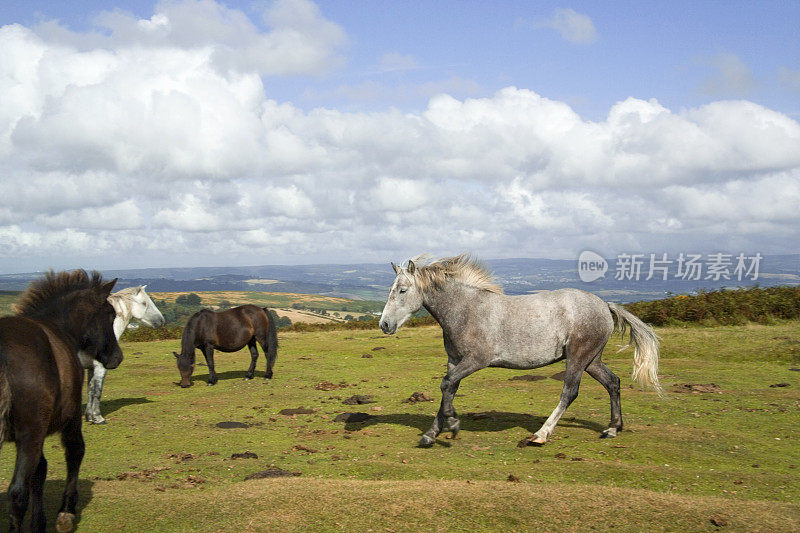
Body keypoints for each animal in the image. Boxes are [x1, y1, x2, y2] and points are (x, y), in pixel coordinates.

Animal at [0, 270, 122, 532]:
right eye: (110, 314)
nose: (117, 357)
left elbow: (40, 472)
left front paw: (39, 521)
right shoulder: (71, 416)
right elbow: (75, 451)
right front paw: (66, 511)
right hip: (31, 434)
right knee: (17, 493)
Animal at [79, 284, 164, 422]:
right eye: (144, 303)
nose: (162, 321)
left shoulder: (92, 368)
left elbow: (90, 390)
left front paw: (89, 416)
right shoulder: (100, 367)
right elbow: (97, 391)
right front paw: (98, 417)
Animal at [378, 254, 660, 444]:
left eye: (402, 290)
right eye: (391, 289)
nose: (384, 324)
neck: (466, 310)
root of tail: (604, 305)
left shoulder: (477, 359)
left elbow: (446, 384)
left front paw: (453, 424)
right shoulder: (454, 360)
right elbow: (449, 388)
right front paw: (431, 434)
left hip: (578, 358)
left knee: (570, 392)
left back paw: (540, 435)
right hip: (592, 360)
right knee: (613, 382)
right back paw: (612, 428)